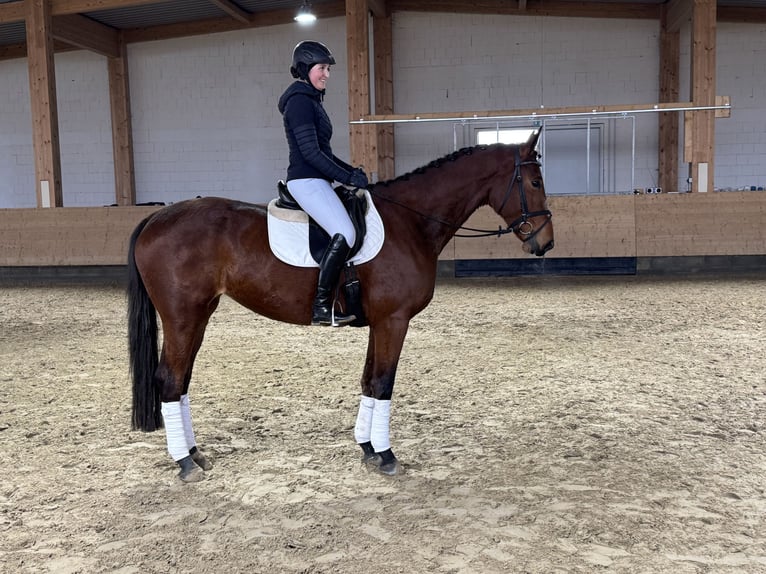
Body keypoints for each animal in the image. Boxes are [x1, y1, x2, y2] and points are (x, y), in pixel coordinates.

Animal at [129, 129, 556, 482]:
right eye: (535, 181)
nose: (545, 242)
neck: (410, 223)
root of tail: (157, 217)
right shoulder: (394, 320)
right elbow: (384, 383)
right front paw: (387, 456)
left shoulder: (380, 322)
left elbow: (369, 381)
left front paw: (368, 448)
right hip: (182, 317)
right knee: (170, 379)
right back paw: (185, 462)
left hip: (199, 316)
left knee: (182, 381)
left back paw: (196, 454)